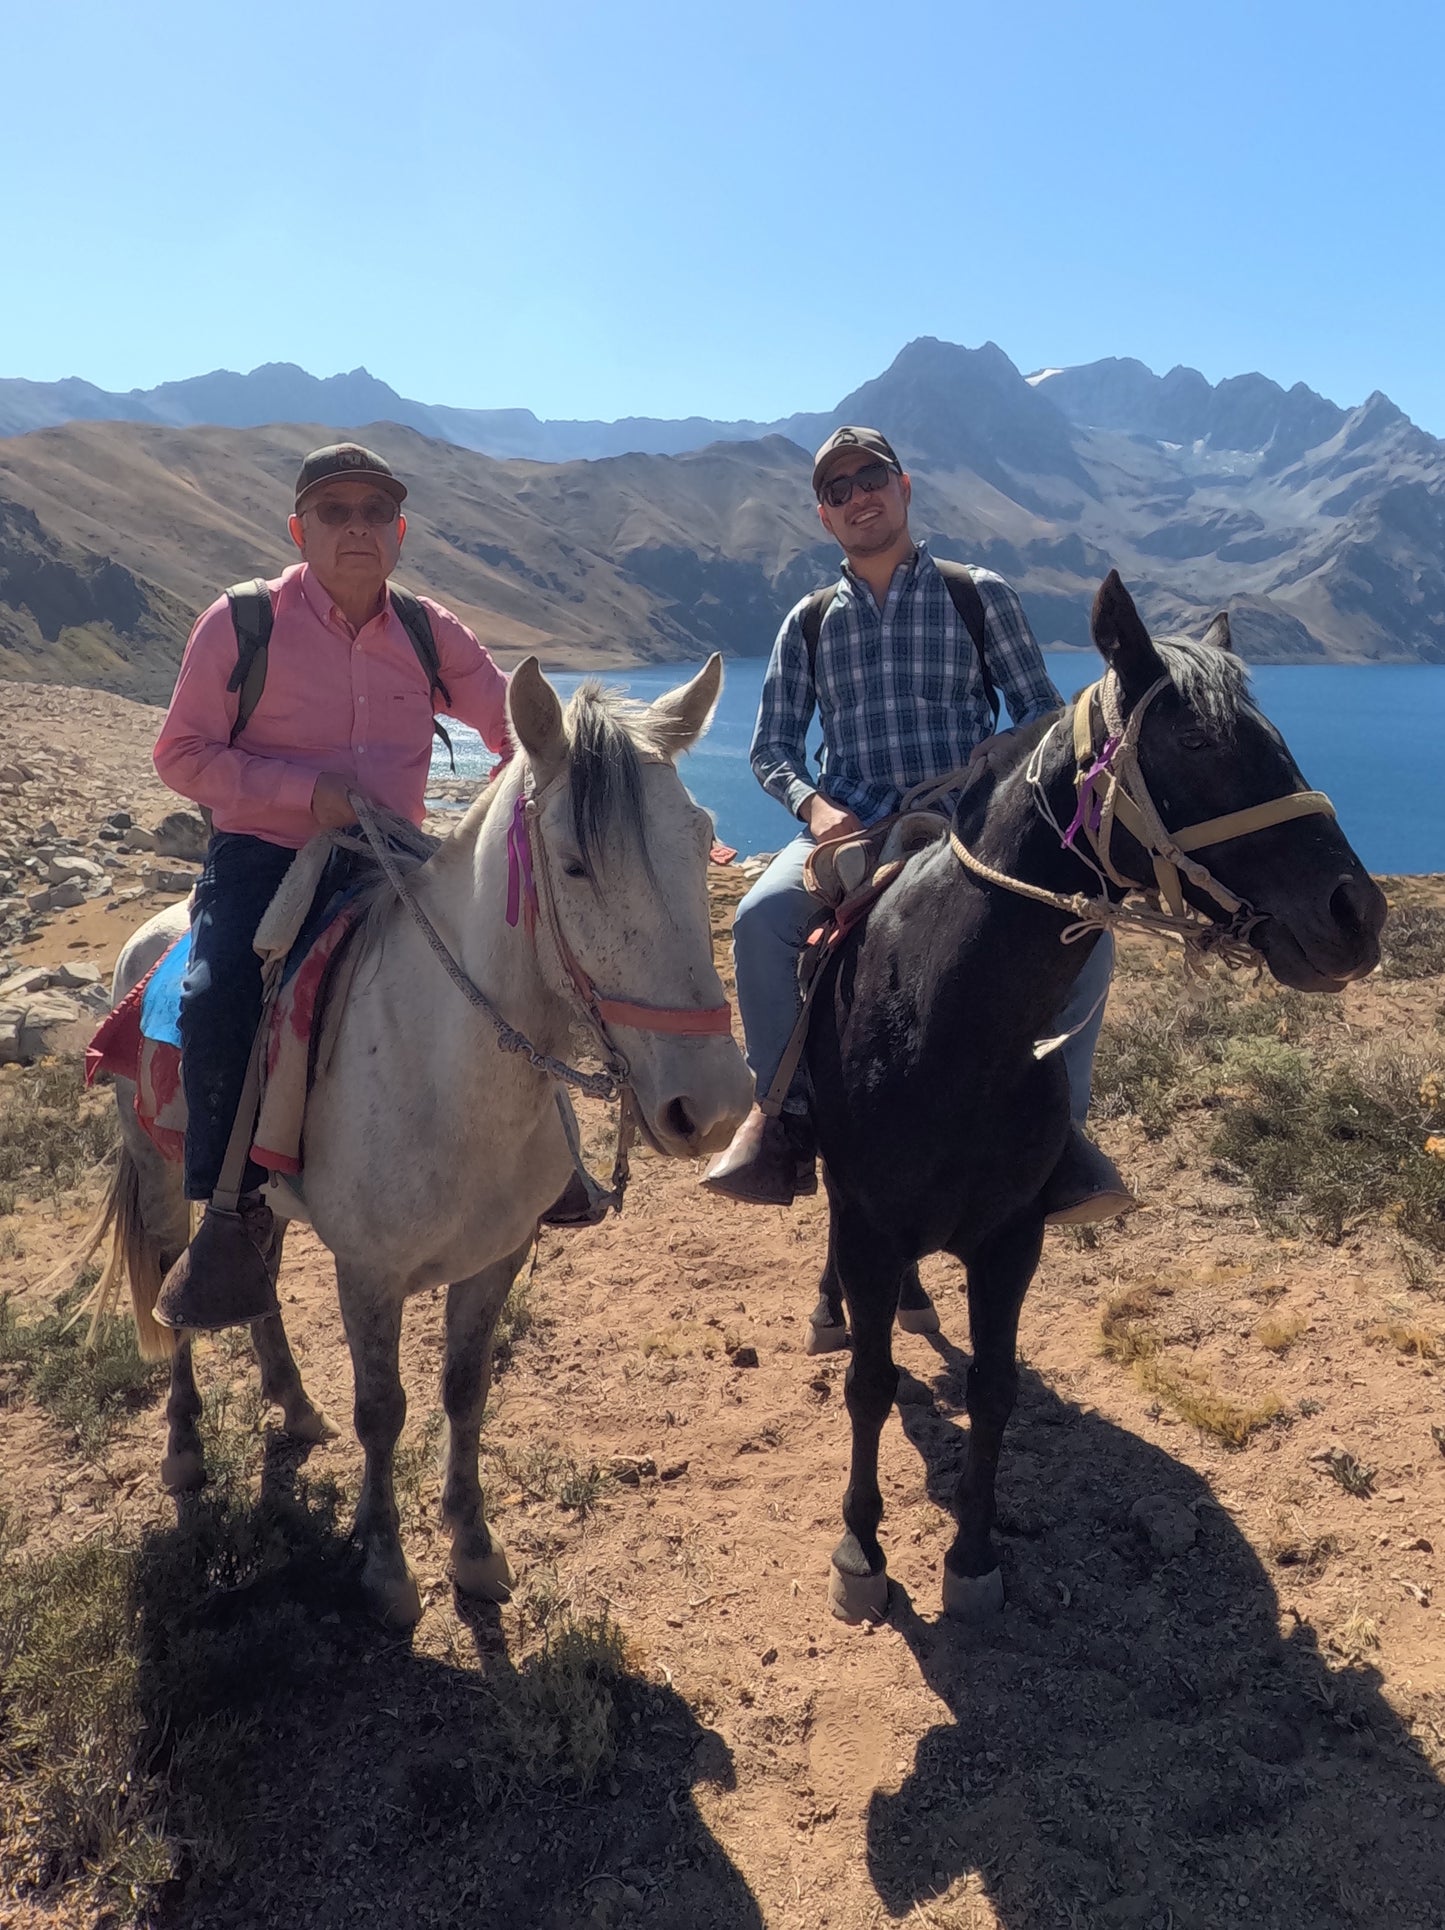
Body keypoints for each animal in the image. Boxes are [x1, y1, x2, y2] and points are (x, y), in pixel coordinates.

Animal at [88, 656, 748, 1621]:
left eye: (702, 839)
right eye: (574, 863)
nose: (715, 1105)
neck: (448, 1079)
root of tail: (150, 938)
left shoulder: (497, 1257)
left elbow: (463, 1391)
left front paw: (472, 1547)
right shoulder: (370, 1273)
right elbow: (384, 1410)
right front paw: (387, 1568)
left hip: (257, 1194)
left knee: (258, 1275)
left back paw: (294, 1406)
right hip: (161, 1171)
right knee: (176, 1292)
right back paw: (185, 1451)